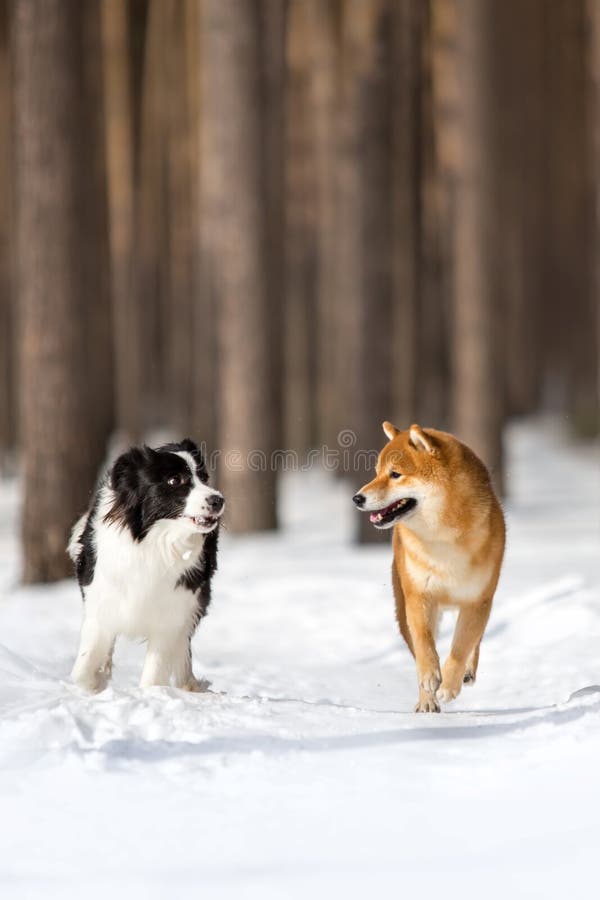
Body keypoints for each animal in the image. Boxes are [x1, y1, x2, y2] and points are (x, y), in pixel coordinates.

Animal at [66, 440, 225, 692]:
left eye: (204, 477)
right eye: (174, 480)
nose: (218, 500)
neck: (153, 542)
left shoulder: (174, 609)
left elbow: (156, 670)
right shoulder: (101, 597)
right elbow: (82, 668)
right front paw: (95, 681)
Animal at [354, 426, 504, 712]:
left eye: (395, 474)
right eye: (377, 472)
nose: (357, 498)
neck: (442, 540)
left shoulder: (477, 600)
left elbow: (461, 646)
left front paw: (449, 685)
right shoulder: (419, 595)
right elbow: (424, 643)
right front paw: (431, 679)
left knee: (475, 641)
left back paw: (465, 673)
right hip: (402, 606)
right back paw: (427, 701)